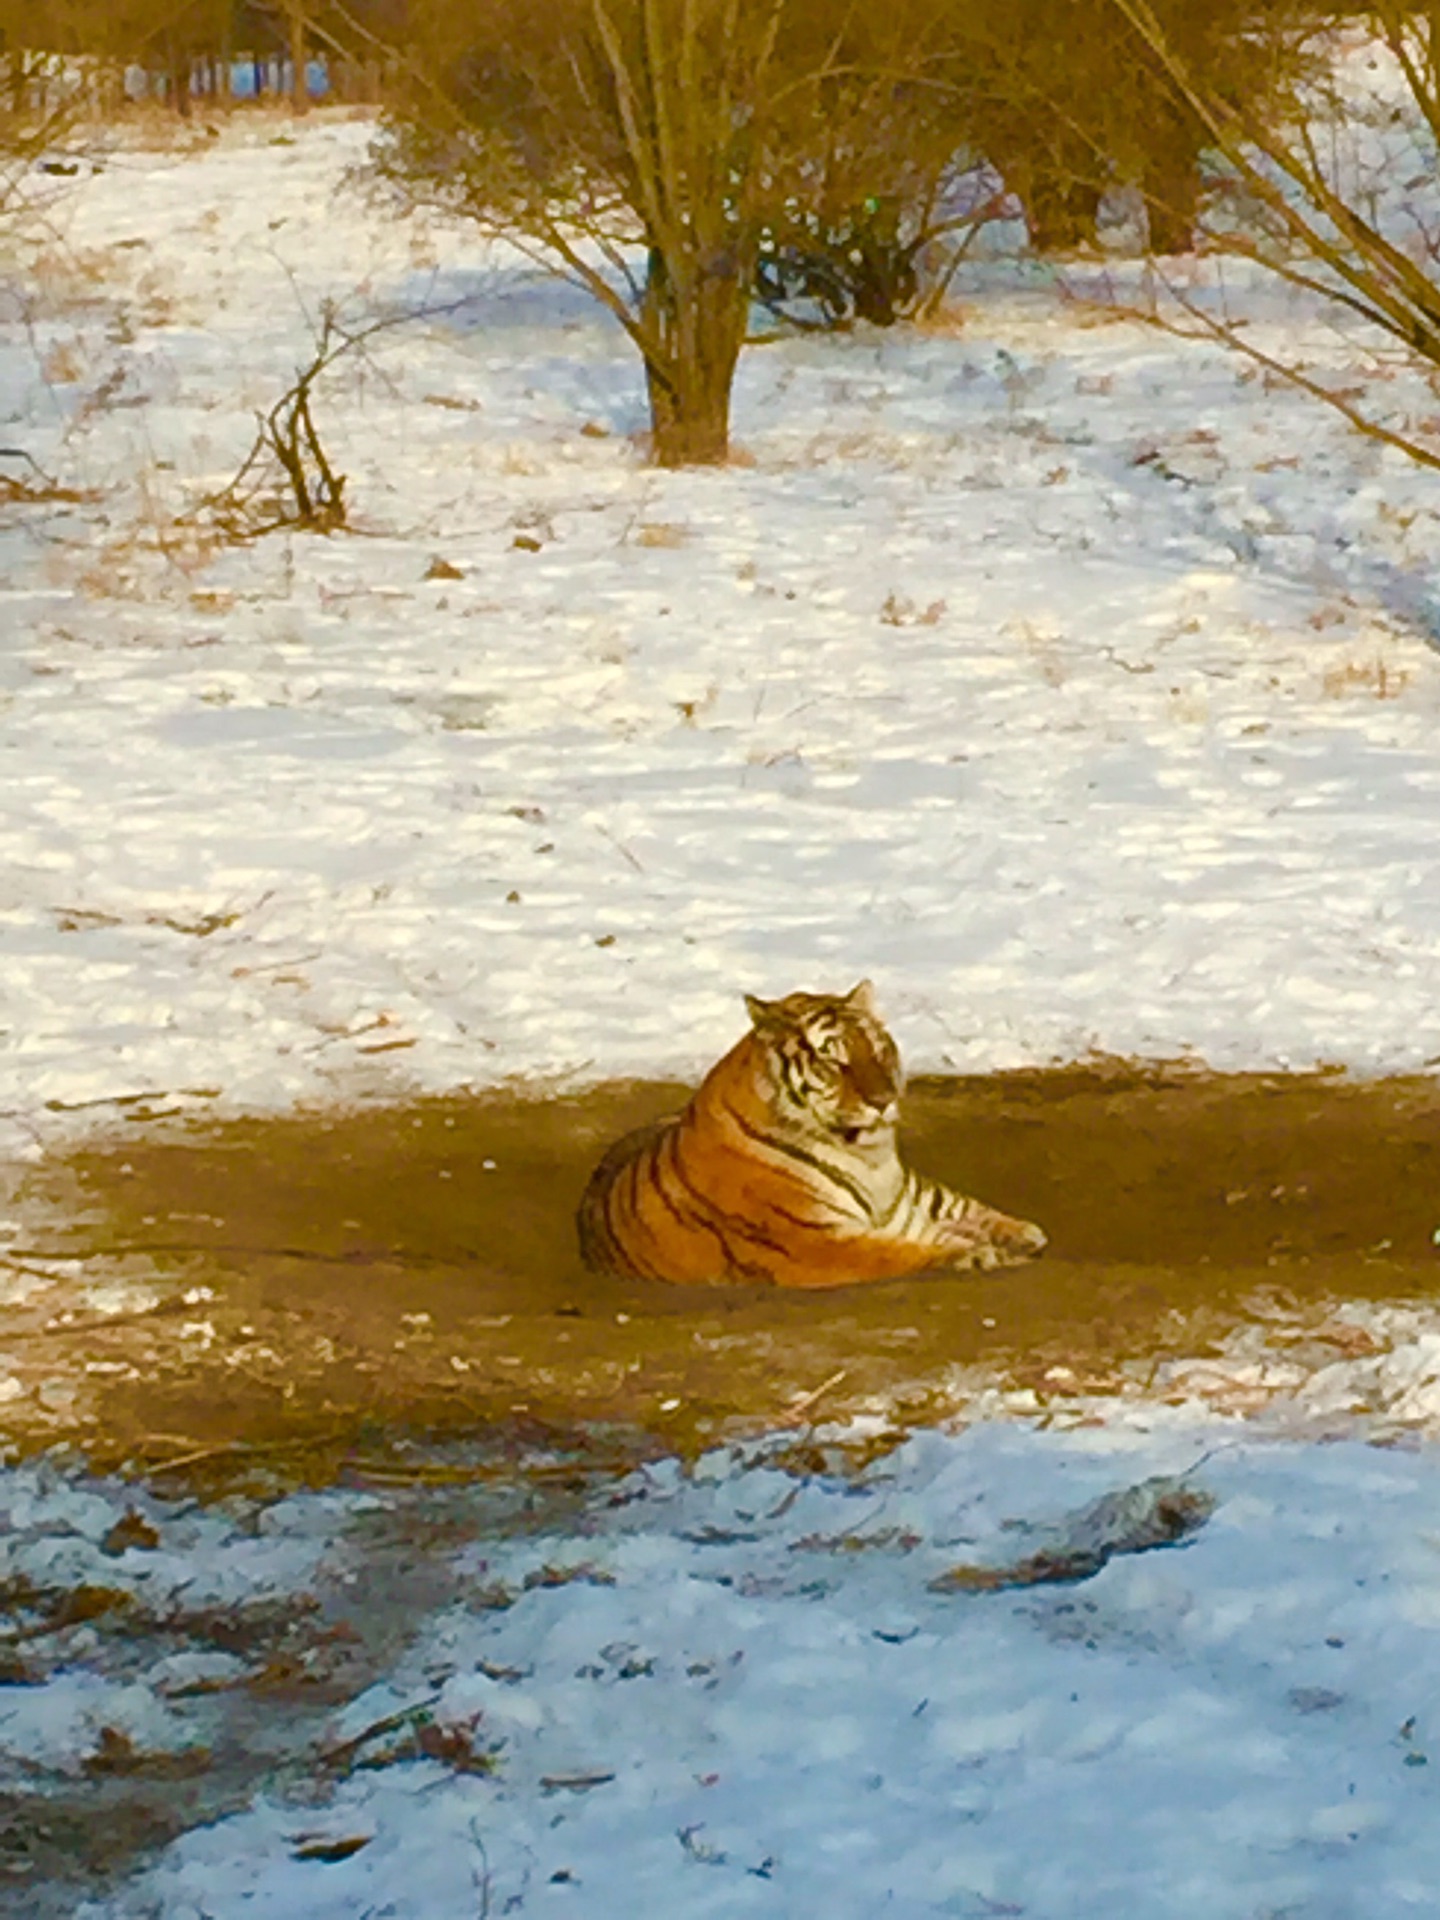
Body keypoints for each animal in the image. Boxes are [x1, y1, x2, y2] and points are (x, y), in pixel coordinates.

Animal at [579, 975, 1052, 1290]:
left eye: (878, 1049)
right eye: (834, 1061)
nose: (883, 1100)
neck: (869, 1158)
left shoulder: (910, 1198)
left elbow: (960, 1204)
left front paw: (1022, 1233)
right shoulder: (813, 1244)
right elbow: (894, 1252)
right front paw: (974, 1253)